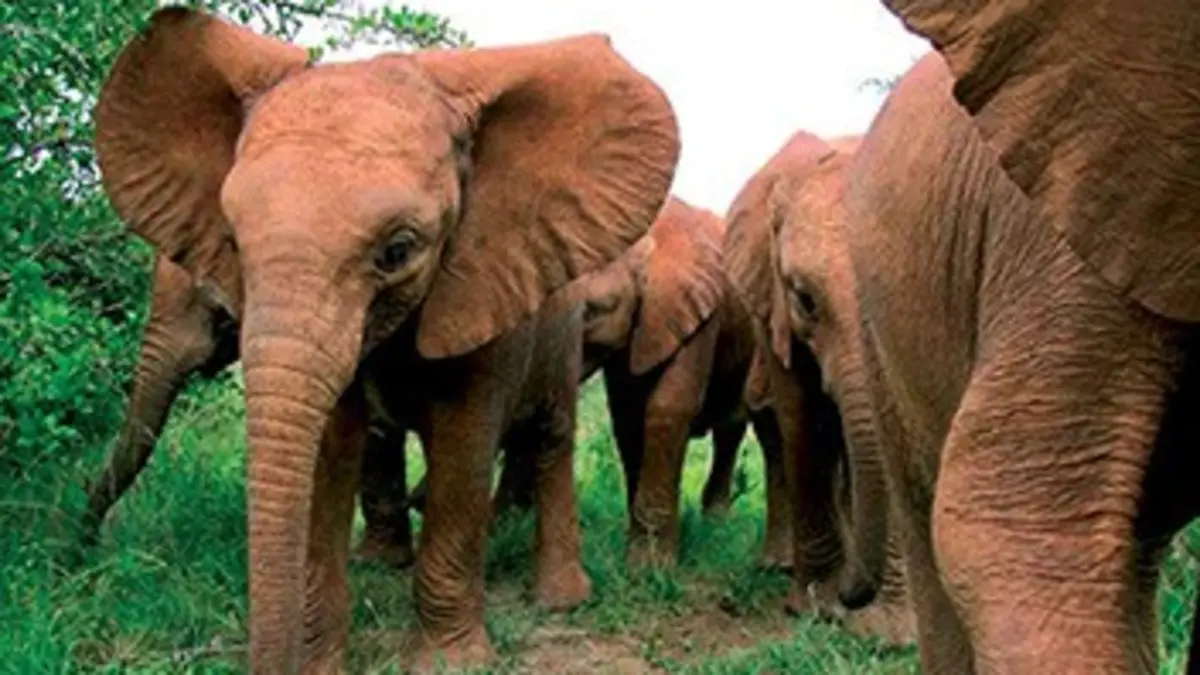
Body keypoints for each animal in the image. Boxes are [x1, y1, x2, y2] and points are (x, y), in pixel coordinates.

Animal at [92, 7, 679, 673]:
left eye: (398, 251)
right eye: (234, 245)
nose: (85, 544)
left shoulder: (482, 285)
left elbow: (463, 445)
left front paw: (452, 662)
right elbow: (328, 445)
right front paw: (322, 661)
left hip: (560, 328)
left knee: (552, 436)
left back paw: (560, 601)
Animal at [723, 131, 916, 647]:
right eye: (805, 300)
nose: (854, 593)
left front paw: (887, 635)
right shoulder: (771, 300)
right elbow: (802, 421)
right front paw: (813, 606)